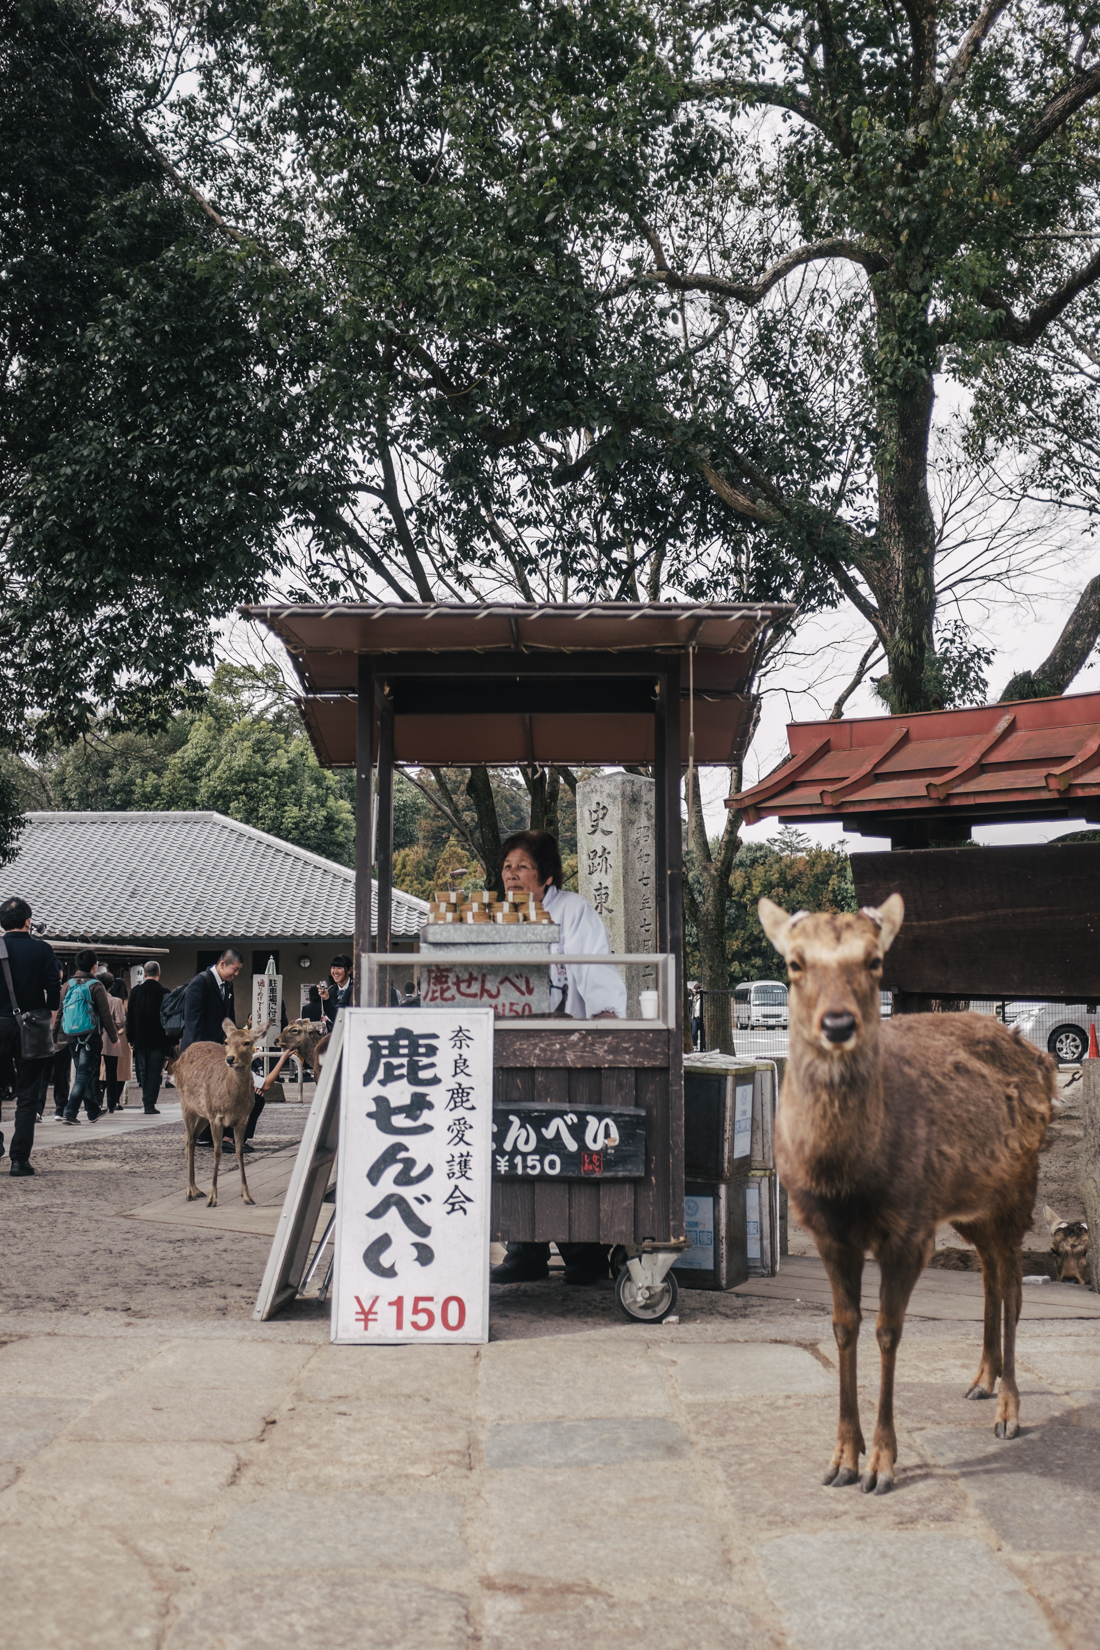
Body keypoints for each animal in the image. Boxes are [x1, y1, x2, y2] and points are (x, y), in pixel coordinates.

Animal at [176, 1009, 273, 1207]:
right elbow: (217, 1152)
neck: (232, 1103)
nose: (230, 1059)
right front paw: (213, 1198)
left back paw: (197, 1189)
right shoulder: (216, 1118)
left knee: (192, 1139)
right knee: (188, 1141)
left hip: (203, 1114)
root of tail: (178, 1060)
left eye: (247, 1042)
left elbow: (239, 1152)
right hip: (187, 1105)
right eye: (226, 1042)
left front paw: (247, 1196)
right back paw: (190, 1192)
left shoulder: (243, 1119)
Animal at [758, 904, 1055, 1498]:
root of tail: (1041, 1059)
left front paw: (880, 1465)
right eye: (795, 963)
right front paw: (841, 1458)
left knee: (1014, 1288)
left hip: (1017, 1187)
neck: (846, 1180)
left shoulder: (910, 1228)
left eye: (875, 961)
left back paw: (1009, 1409)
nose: (838, 1024)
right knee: (990, 1274)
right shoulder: (828, 1234)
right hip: (970, 1205)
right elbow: (843, 1327)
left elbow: (888, 1331)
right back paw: (982, 1378)